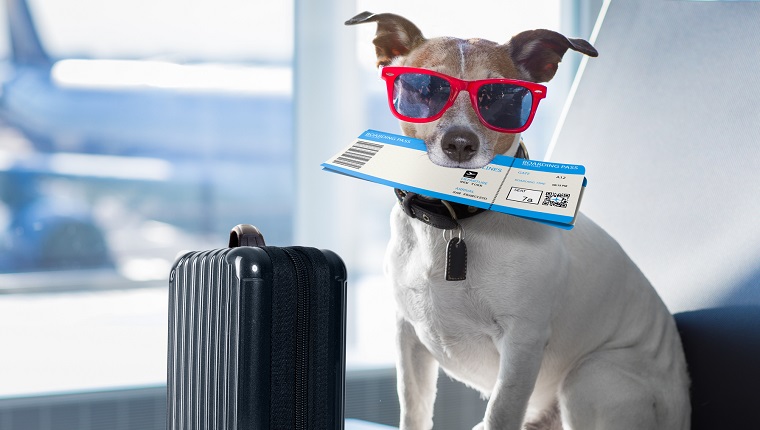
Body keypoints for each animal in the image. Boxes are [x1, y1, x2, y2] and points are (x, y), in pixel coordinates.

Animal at [348, 10, 692, 430]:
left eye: (500, 97)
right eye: (425, 89)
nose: (460, 143)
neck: (453, 219)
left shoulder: (522, 343)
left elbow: (501, 411)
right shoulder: (408, 335)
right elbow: (413, 410)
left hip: (590, 375)